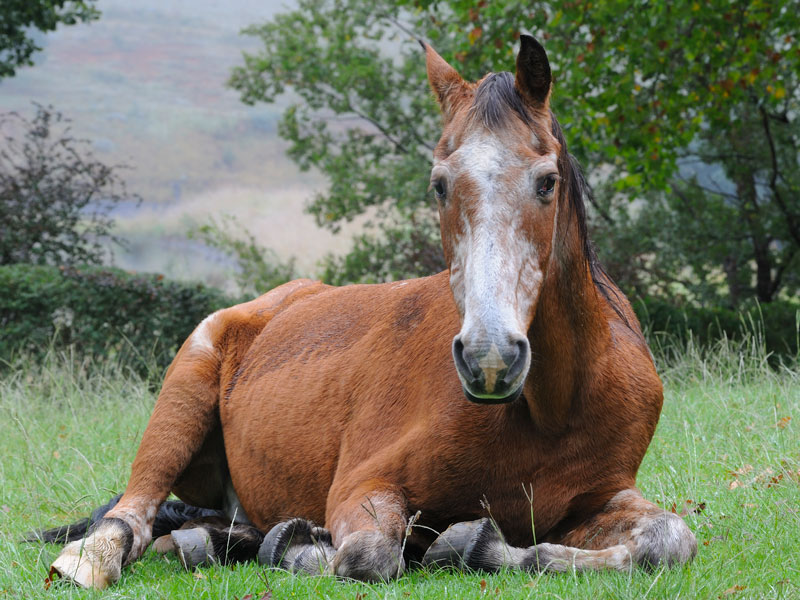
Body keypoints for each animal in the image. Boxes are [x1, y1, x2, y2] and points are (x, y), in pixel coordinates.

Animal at [45, 35, 692, 588]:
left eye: (547, 181)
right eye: (439, 184)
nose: (489, 358)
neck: (552, 407)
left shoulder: (599, 499)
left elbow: (668, 539)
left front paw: (472, 544)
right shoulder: (363, 484)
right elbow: (368, 553)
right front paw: (313, 548)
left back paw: (218, 540)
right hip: (181, 399)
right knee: (132, 517)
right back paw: (99, 558)